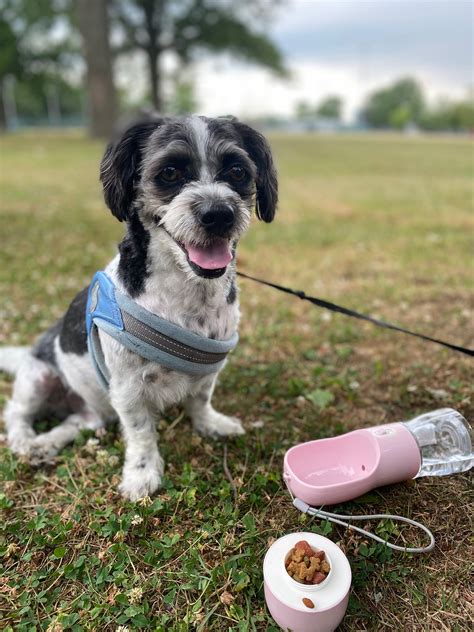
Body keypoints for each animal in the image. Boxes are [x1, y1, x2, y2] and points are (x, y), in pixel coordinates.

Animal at [0, 113, 278, 498]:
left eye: (237, 171)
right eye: (170, 172)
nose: (219, 213)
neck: (188, 295)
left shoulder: (208, 370)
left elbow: (200, 399)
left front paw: (210, 424)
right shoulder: (128, 386)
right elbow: (141, 431)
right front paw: (142, 474)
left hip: (90, 414)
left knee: (78, 423)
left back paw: (46, 443)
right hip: (38, 376)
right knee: (15, 412)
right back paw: (27, 440)